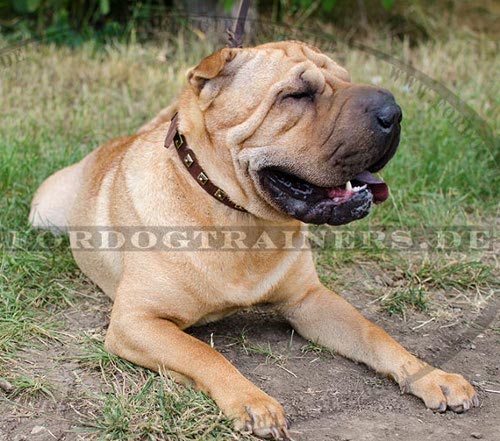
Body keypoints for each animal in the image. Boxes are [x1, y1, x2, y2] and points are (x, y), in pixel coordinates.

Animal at [29, 40, 478, 436]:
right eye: (296, 95)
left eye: (346, 79)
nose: (393, 112)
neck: (240, 219)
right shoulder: (137, 321)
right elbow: (203, 352)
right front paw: (252, 401)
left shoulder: (308, 300)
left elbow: (373, 333)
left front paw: (431, 375)